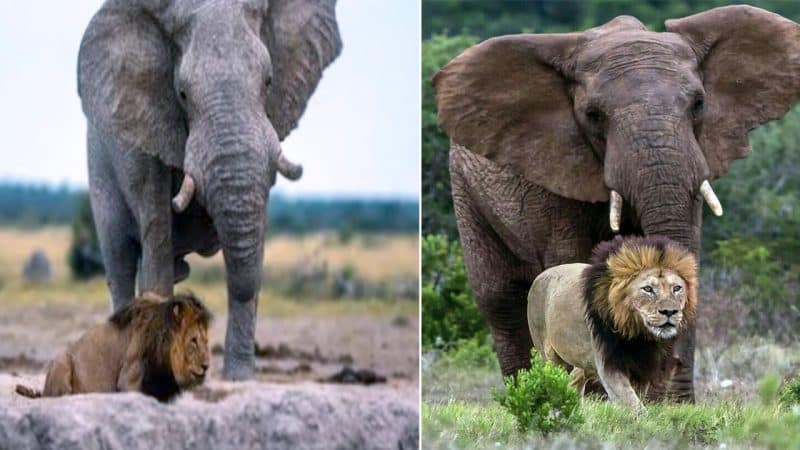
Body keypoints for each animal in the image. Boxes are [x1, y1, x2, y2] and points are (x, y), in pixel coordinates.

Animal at [17, 294, 211, 402]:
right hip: (61, 359)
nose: (206, 366)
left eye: (205, 341)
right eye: (193, 340)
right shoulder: (128, 380)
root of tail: (44, 391)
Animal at [80, 0, 340, 380]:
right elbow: (157, 236)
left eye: (269, 81)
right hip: (99, 164)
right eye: (183, 93)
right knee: (120, 259)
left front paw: (241, 378)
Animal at [528, 236, 696, 412]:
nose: (670, 311)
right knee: (553, 376)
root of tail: (540, 275)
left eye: (677, 288)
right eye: (648, 289)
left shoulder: (643, 365)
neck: (637, 334)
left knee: (576, 375)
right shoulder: (608, 362)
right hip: (548, 352)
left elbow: (635, 397)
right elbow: (630, 400)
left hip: (585, 359)